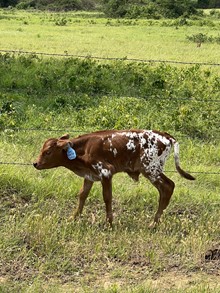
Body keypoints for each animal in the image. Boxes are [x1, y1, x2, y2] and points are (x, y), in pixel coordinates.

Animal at [32, 129, 194, 227]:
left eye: (48, 151)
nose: (35, 163)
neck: (84, 149)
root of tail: (165, 135)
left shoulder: (106, 172)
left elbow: (107, 197)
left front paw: (109, 222)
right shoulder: (90, 176)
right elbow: (82, 195)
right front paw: (73, 217)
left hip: (151, 169)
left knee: (168, 186)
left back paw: (154, 223)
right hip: (153, 170)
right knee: (165, 190)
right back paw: (156, 221)